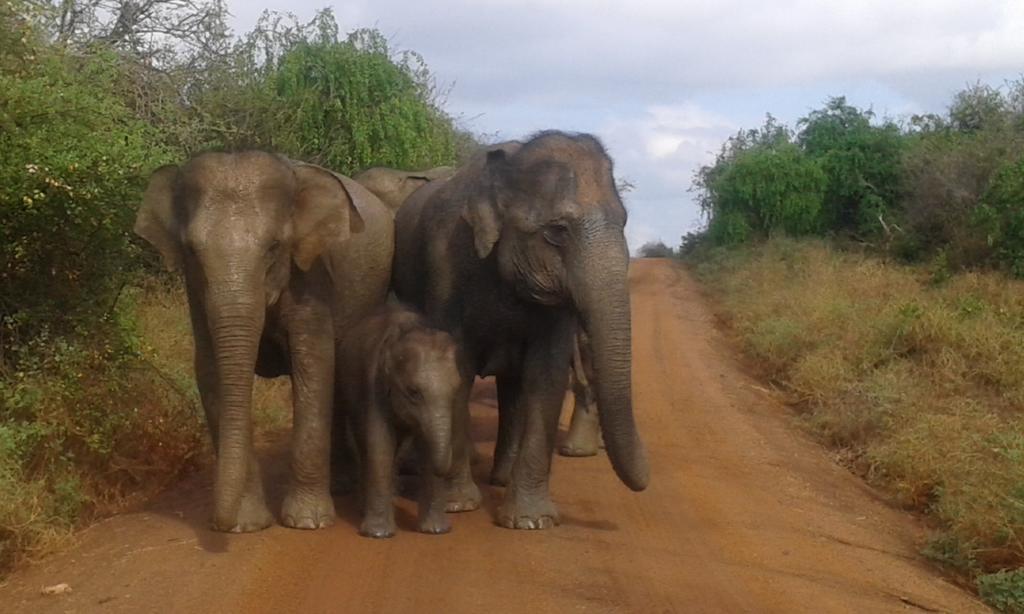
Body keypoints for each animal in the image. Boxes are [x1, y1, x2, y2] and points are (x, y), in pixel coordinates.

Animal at [134, 149, 393, 532]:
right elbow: (210, 370)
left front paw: (307, 523)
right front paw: (246, 525)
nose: (217, 524)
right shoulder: (196, 293)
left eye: (274, 247)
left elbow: (313, 364)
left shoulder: (311, 276)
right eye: (192, 251)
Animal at [335, 304, 460, 536]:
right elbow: (381, 443)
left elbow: (425, 446)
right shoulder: (374, 383)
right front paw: (378, 534)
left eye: (456, 389)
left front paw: (435, 531)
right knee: (364, 442)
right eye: (413, 392)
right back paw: (364, 507)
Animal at [391, 129, 647, 528]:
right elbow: (455, 369)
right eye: (557, 231)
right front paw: (459, 505)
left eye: (623, 223)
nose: (645, 482)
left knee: (513, 386)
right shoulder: (444, 267)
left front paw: (530, 521)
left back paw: (501, 479)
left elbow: (547, 373)